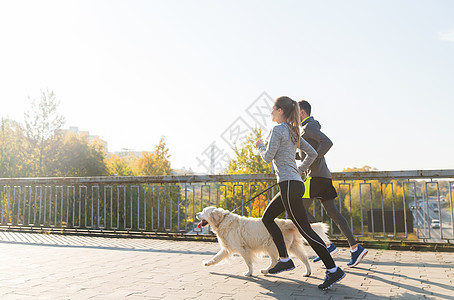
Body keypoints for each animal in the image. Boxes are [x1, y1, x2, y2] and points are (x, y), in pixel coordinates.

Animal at [195, 206, 330, 276]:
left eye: (204, 212)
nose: (196, 214)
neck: (222, 220)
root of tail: (286, 222)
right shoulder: (226, 248)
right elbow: (216, 257)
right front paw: (207, 263)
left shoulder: (243, 249)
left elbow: (248, 262)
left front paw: (249, 273)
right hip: (292, 247)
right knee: (304, 258)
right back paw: (307, 272)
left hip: (271, 246)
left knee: (275, 260)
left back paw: (266, 270)